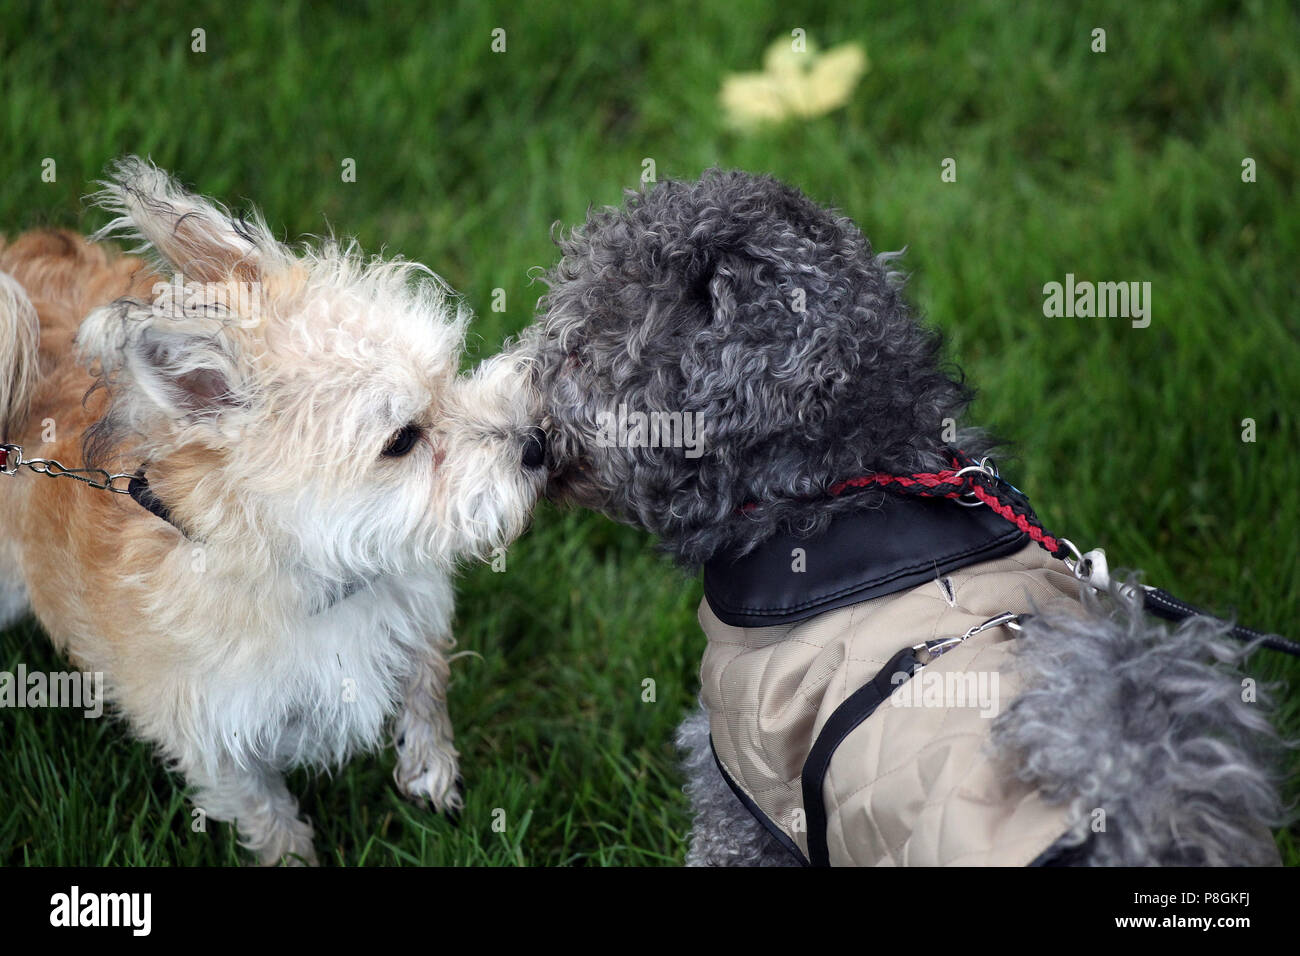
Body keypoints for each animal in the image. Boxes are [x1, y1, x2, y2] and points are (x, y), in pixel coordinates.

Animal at [0, 158, 543, 868]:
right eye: (402, 439)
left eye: (450, 374)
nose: (537, 445)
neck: (315, 577)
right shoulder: (211, 739)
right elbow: (267, 812)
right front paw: (295, 858)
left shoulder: (410, 604)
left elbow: (426, 685)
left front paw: (431, 769)